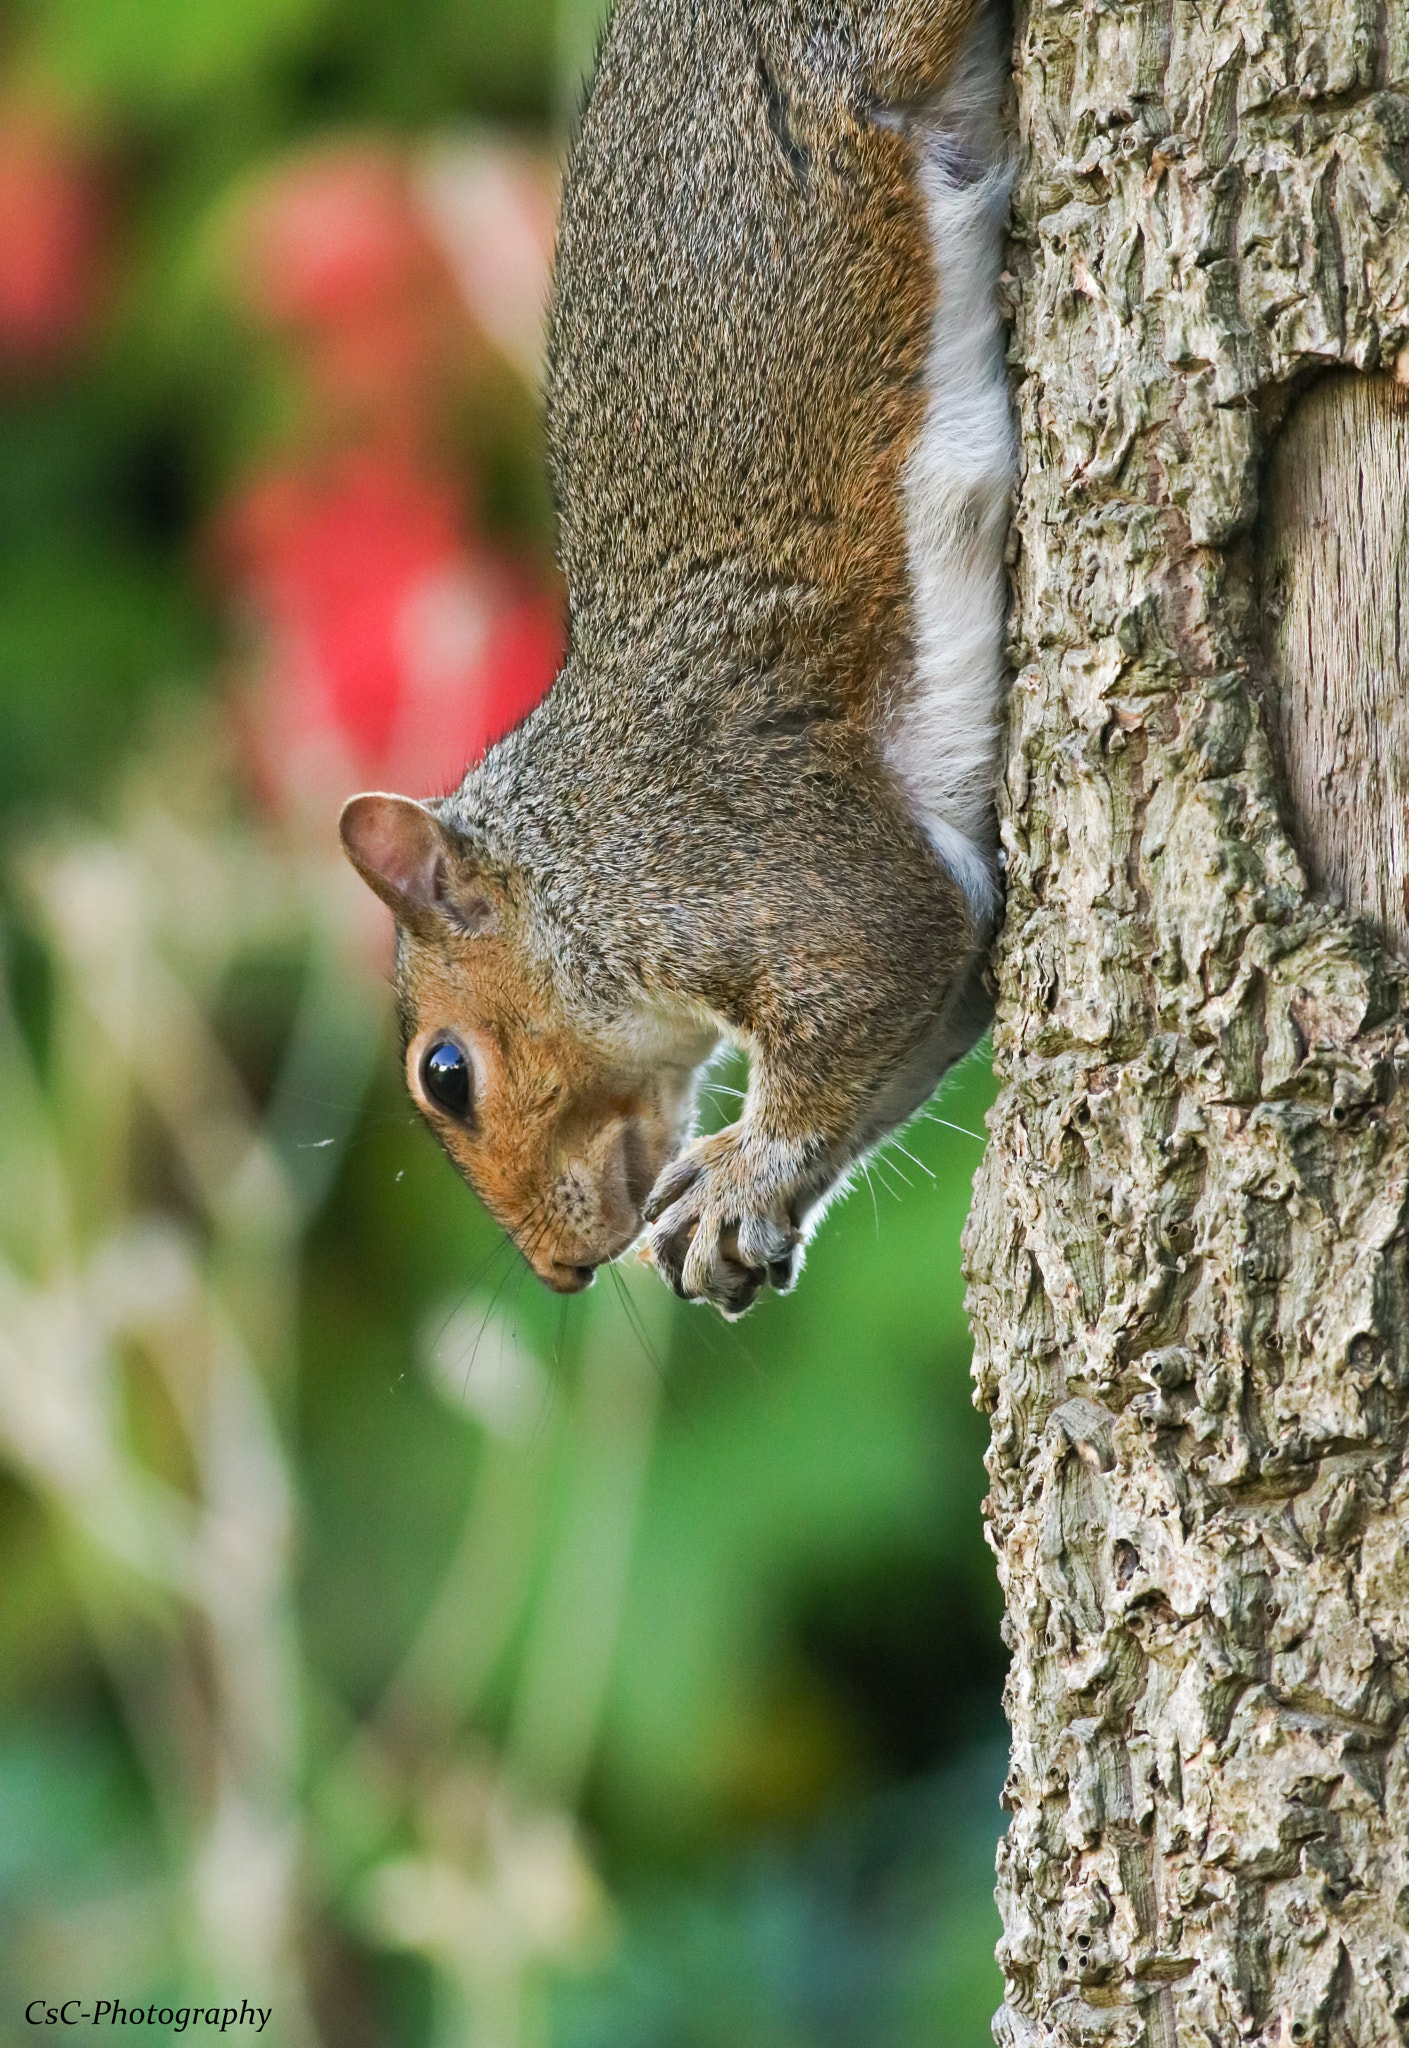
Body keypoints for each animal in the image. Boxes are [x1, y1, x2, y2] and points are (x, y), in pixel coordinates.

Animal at [342, 0, 1011, 1318]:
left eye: (446, 1072)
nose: (556, 1271)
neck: (571, 856)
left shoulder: (724, 845)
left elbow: (880, 949)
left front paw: (743, 1169)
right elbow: (929, 1004)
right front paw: (733, 1207)